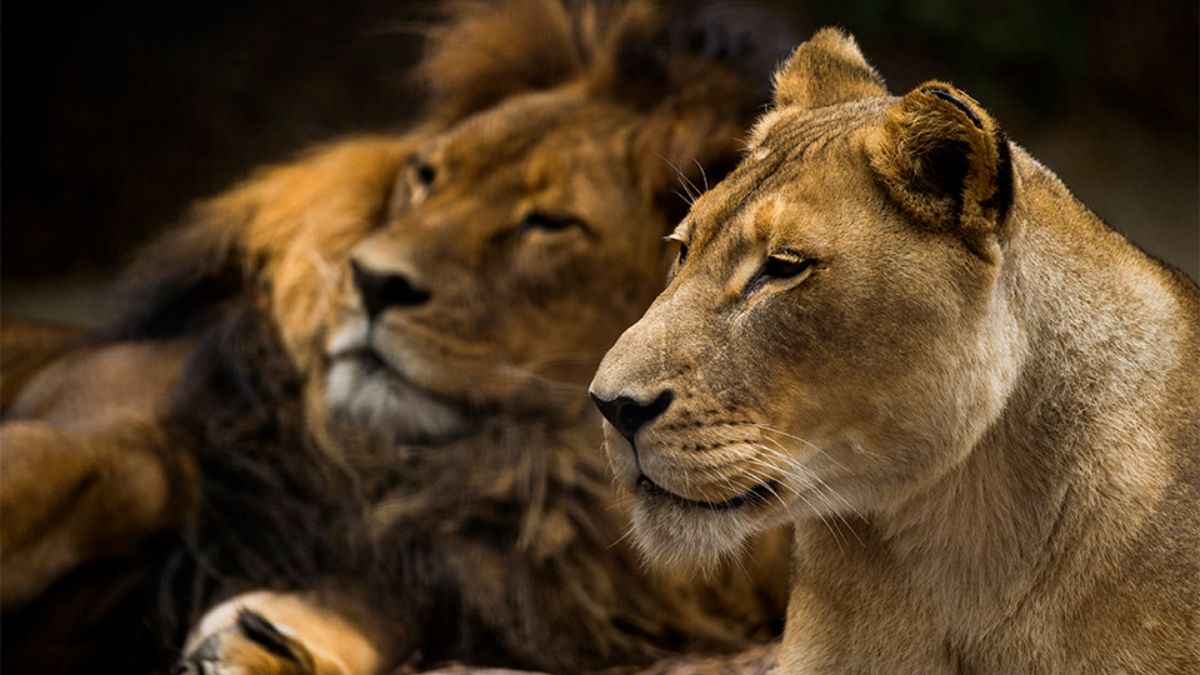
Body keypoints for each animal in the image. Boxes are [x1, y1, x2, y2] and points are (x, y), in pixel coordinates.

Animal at [1, 2, 795, 673]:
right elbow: (59, 471)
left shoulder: (462, 566)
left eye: (549, 223)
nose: (371, 280)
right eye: (427, 174)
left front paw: (268, 640)